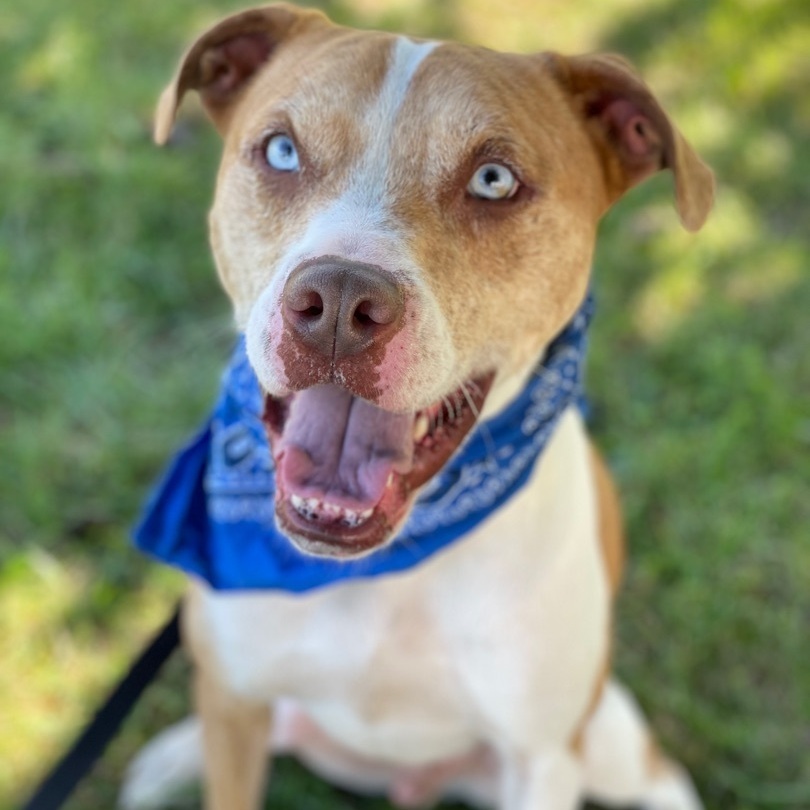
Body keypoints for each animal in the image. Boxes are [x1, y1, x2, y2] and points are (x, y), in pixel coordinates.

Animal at [118, 6, 708, 808]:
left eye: (493, 179)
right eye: (281, 151)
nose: (338, 302)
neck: (385, 574)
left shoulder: (540, 760)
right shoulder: (235, 697)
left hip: (599, 736)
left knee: (655, 771)